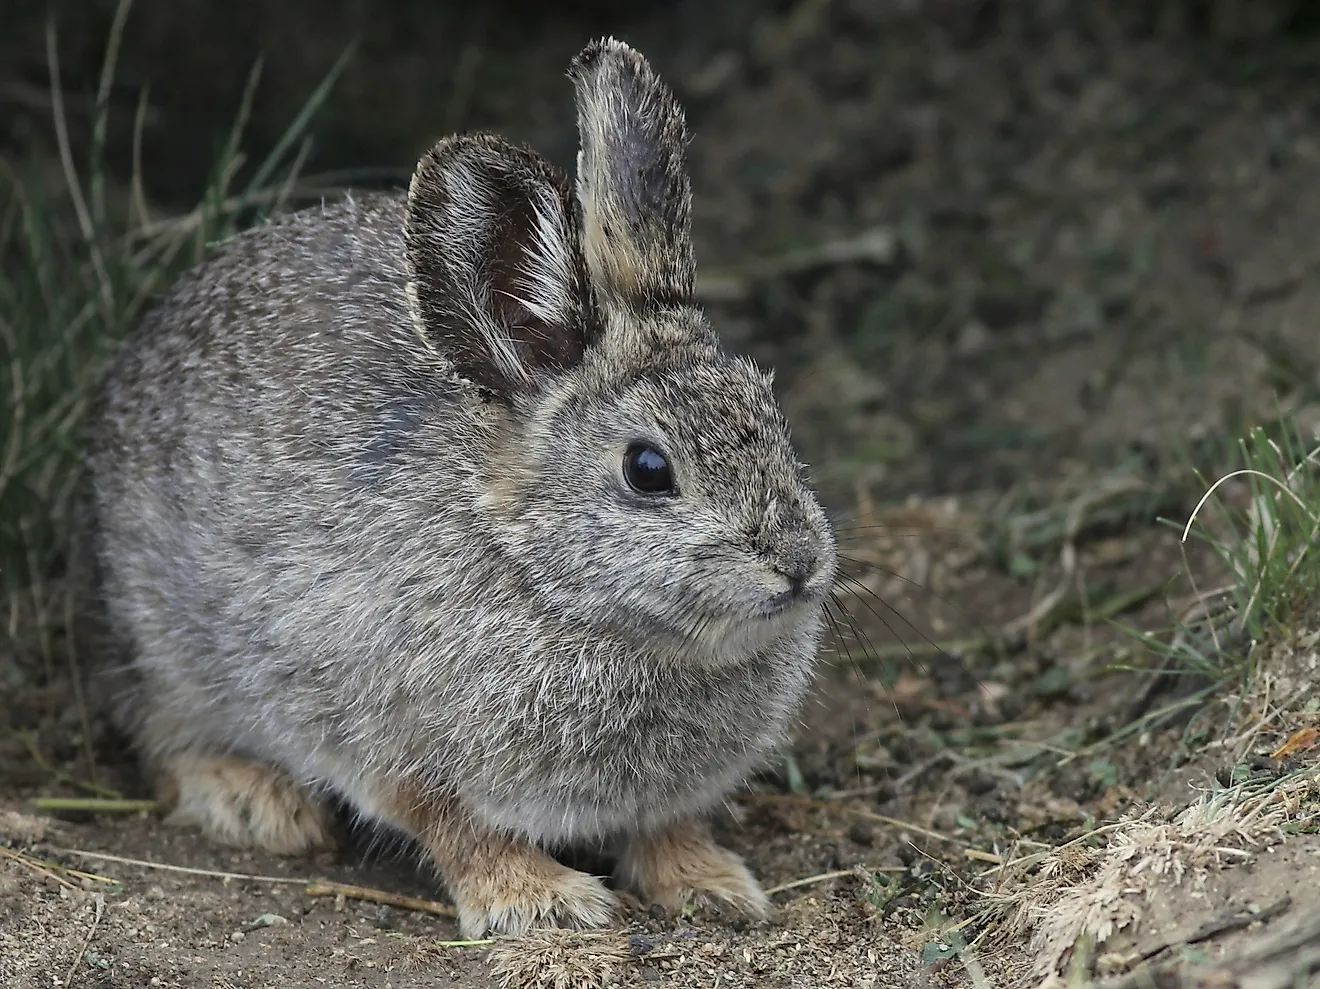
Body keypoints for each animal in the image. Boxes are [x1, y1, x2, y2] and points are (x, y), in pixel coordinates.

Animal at [85, 36, 834, 934]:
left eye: (771, 410)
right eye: (648, 470)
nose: (799, 563)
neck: (543, 579)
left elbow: (666, 826)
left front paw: (712, 884)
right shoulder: (389, 739)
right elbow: (459, 827)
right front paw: (540, 902)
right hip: (162, 643)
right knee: (162, 737)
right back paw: (255, 801)